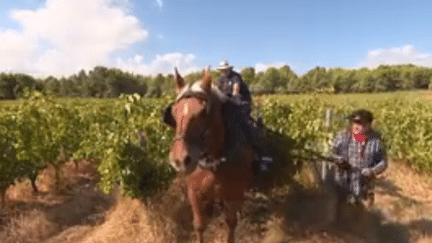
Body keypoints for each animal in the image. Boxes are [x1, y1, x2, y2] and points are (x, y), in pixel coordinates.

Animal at [165, 68, 253, 243]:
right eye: (174, 112)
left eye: (202, 113)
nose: (180, 160)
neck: (214, 161)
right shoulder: (194, 193)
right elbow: (200, 225)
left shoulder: (234, 193)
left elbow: (231, 222)